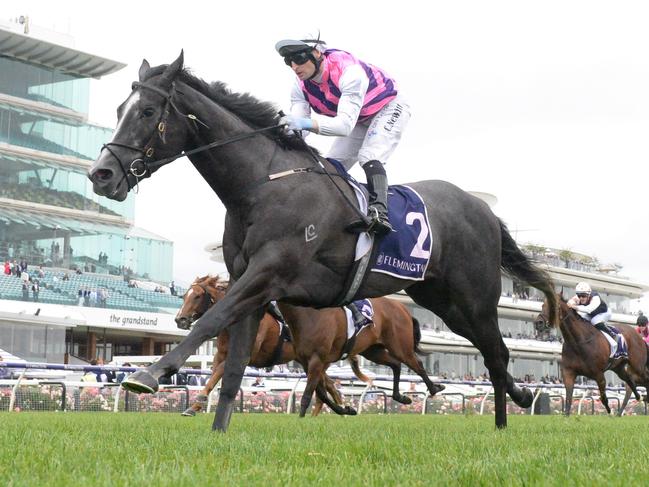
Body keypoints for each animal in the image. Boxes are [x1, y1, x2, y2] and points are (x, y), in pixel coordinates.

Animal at [172, 276, 368, 418]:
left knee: (325, 386)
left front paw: (195, 405)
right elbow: (212, 379)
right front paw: (195, 406)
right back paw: (337, 411)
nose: (180, 319)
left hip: (319, 359)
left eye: (197, 296)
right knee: (328, 386)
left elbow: (213, 379)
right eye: (184, 296)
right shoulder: (219, 355)